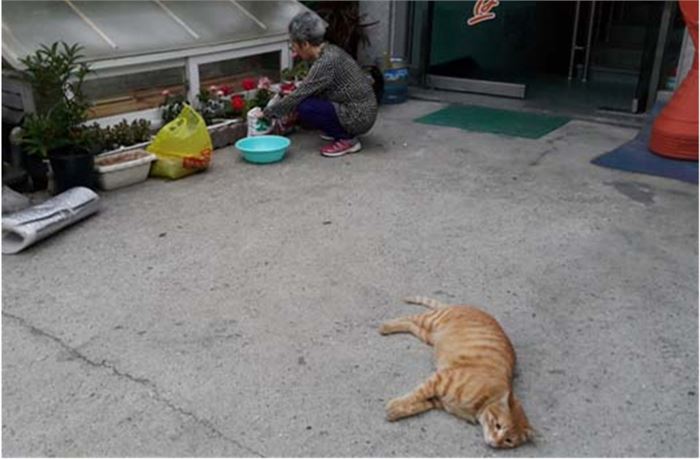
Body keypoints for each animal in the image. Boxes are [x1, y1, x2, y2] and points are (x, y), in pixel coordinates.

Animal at [380, 294, 532, 450]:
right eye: (498, 425)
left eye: (509, 441)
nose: (495, 442)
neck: (483, 402)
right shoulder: (439, 380)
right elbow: (415, 395)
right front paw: (396, 404)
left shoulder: (439, 401)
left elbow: (417, 406)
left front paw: (397, 412)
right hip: (430, 321)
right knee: (410, 317)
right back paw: (386, 326)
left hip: (427, 336)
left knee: (412, 325)